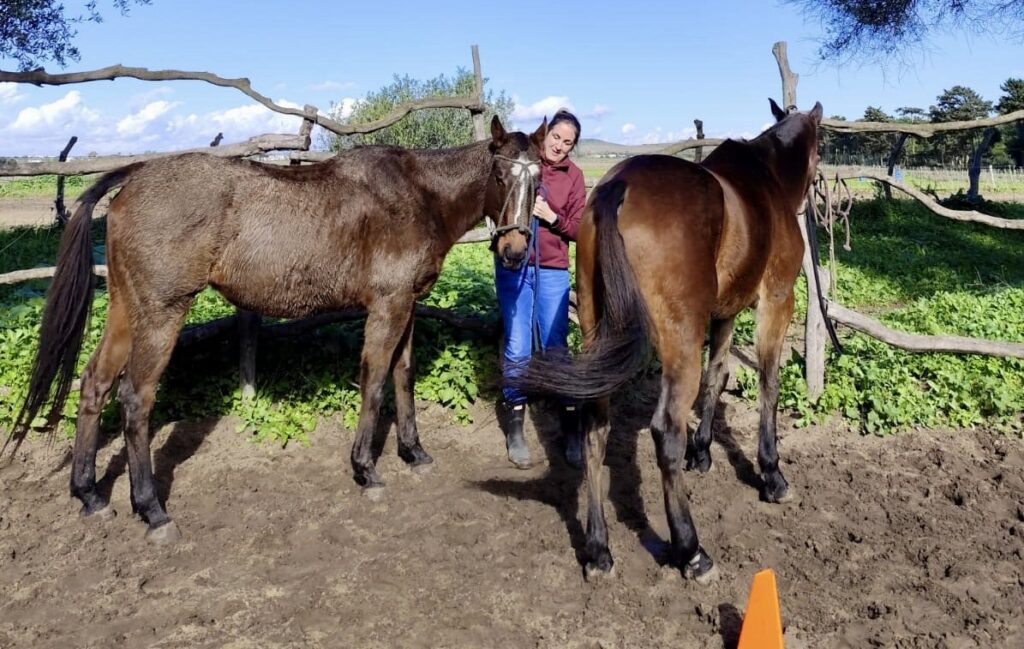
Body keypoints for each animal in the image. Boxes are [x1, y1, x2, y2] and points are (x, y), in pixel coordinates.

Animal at [6, 115, 544, 540]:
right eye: (500, 173)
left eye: (539, 180)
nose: (515, 251)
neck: (419, 194)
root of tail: (134, 176)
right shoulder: (387, 306)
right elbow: (373, 382)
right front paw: (365, 469)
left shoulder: (407, 305)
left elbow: (402, 376)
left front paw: (413, 452)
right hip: (162, 313)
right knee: (136, 399)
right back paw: (152, 510)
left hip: (125, 308)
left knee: (95, 383)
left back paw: (89, 495)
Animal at [507, 99, 827, 581]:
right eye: (820, 150)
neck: (765, 179)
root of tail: (617, 186)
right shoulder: (776, 300)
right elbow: (768, 383)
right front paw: (772, 473)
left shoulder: (725, 312)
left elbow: (718, 376)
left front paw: (703, 453)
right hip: (680, 340)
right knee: (665, 430)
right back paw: (691, 550)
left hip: (599, 332)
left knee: (595, 432)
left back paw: (598, 550)